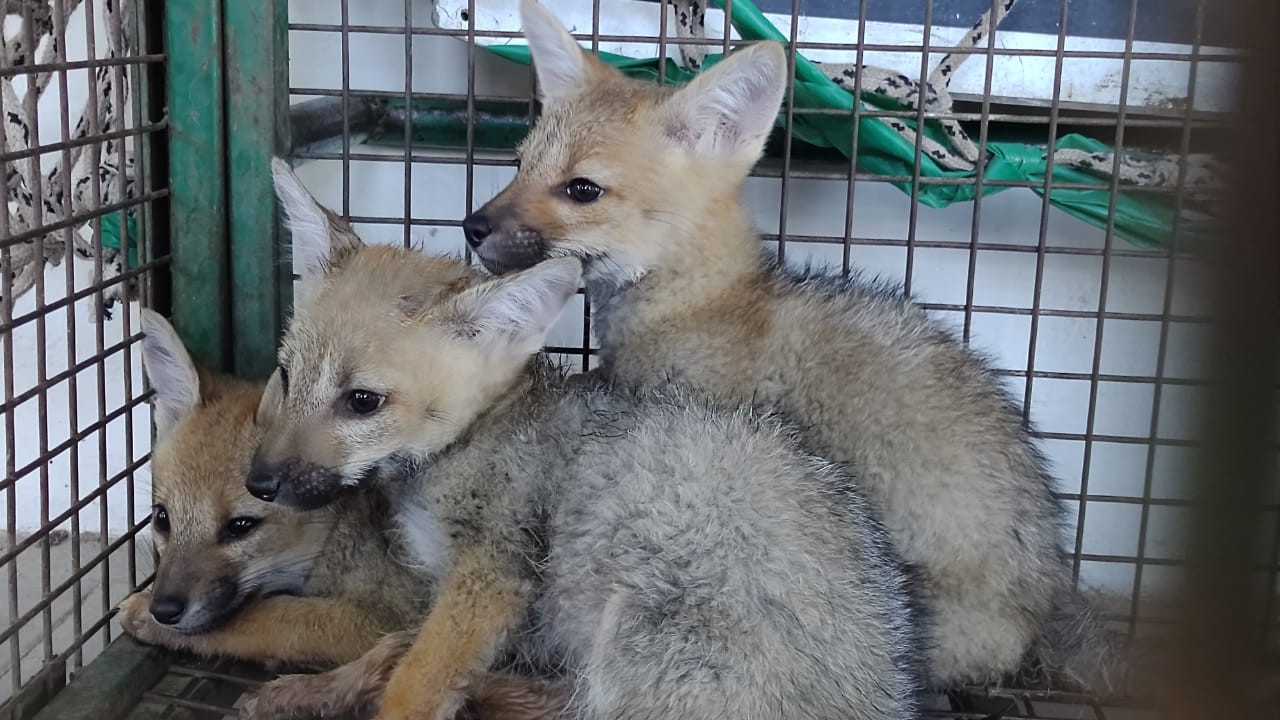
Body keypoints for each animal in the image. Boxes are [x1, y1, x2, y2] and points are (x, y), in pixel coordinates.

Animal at [121, 310, 566, 720]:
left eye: (241, 526)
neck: (341, 532)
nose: (165, 609)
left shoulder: (390, 616)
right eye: (161, 519)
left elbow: (274, 616)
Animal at [242, 158, 922, 720]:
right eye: (284, 375)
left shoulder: (491, 577)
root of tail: (886, 690)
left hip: (627, 626)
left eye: (362, 402)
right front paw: (315, 688)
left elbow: (416, 683)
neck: (481, 436)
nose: (259, 482)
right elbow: (396, 647)